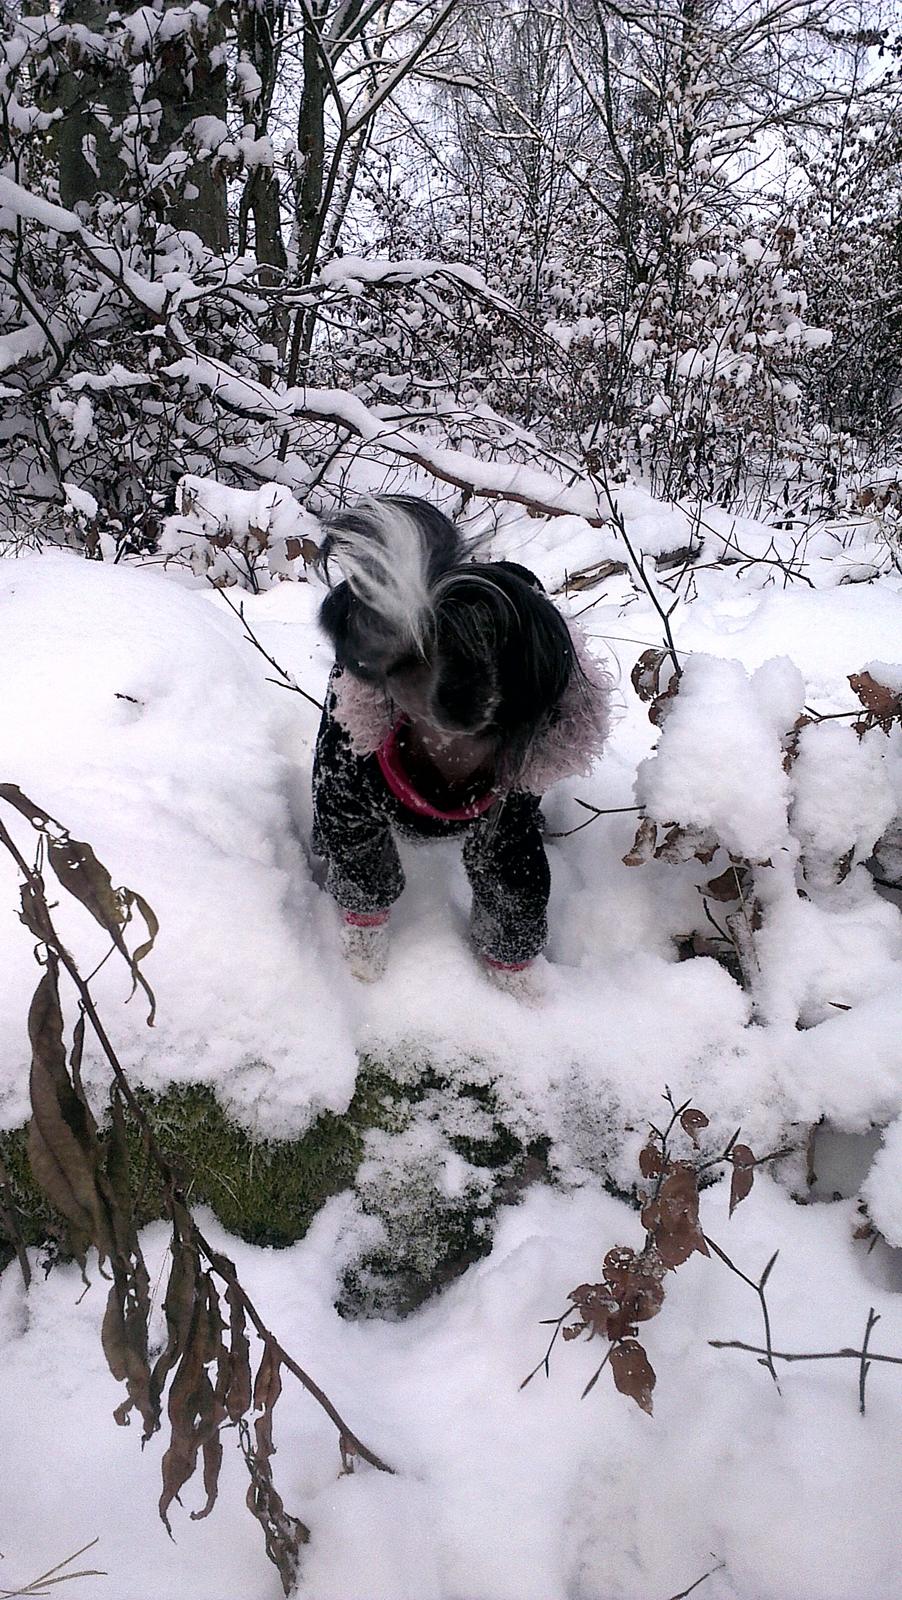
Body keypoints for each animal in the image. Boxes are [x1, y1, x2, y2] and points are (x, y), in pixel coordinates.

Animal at [311, 492, 614, 985]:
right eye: (435, 643)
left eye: (496, 648)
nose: (459, 701)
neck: (446, 753)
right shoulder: (349, 803)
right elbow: (367, 888)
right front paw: (364, 963)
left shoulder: (507, 836)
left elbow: (513, 901)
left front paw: (519, 988)